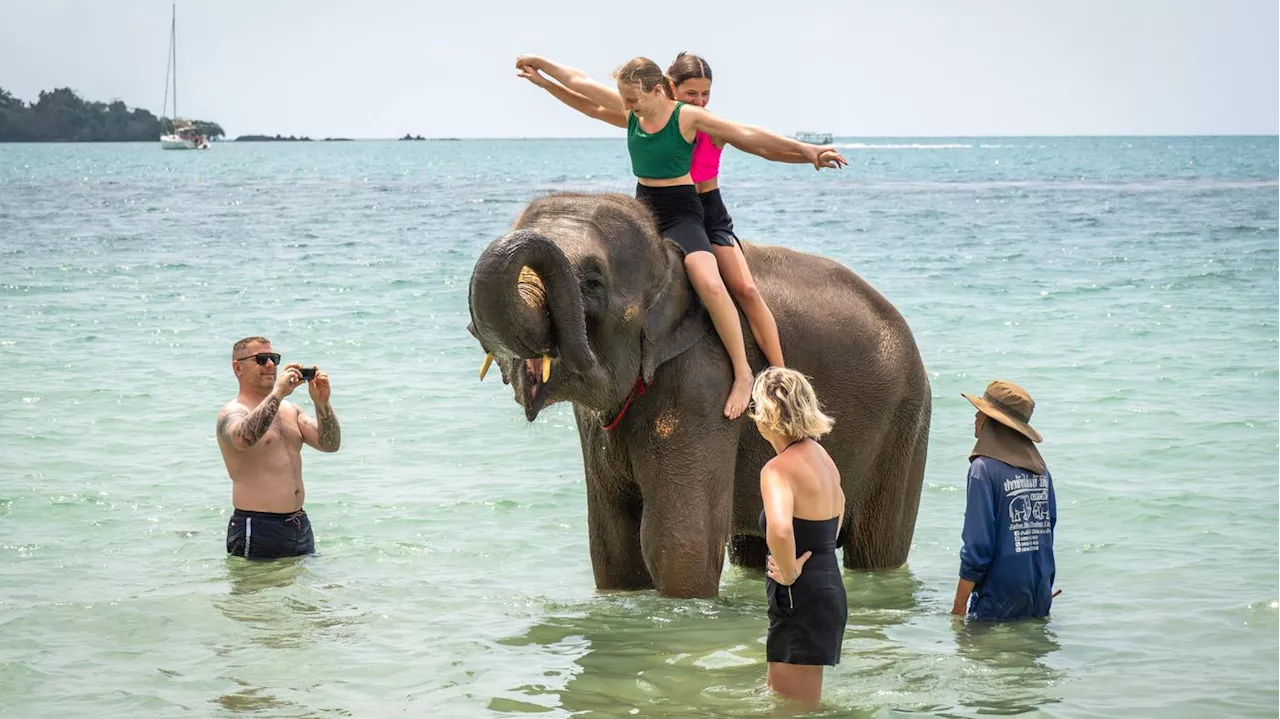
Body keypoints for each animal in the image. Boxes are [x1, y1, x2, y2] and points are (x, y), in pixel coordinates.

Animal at [468, 191, 931, 598]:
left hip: (905, 427)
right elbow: (613, 545)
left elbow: (678, 544)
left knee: (876, 549)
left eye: (594, 282)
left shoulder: (705, 385)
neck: (667, 251)